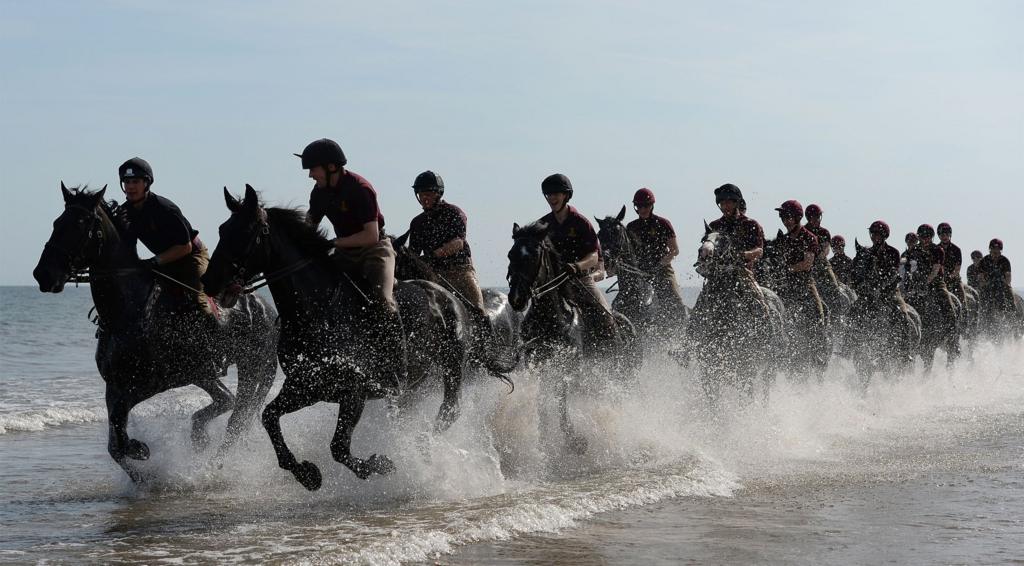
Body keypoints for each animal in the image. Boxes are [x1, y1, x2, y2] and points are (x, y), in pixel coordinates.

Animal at [32, 184, 280, 481]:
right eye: (57, 223)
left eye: (80, 224)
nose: (43, 275)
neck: (127, 312)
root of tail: (267, 308)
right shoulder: (114, 386)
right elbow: (114, 443)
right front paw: (140, 471)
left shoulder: (149, 383)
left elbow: (119, 434)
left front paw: (139, 451)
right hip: (204, 373)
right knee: (226, 401)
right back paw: (199, 436)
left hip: (252, 365)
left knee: (237, 412)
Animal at [204, 186, 483, 489]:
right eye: (222, 229)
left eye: (245, 232)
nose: (208, 282)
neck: (315, 312)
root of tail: (446, 294)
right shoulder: (306, 387)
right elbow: (269, 417)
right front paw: (306, 474)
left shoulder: (355, 391)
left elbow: (338, 447)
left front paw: (379, 464)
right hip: (413, 385)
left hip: (452, 364)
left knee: (450, 410)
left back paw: (425, 444)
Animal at [679, 227, 782, 403]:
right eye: (703, 239)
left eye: (724, 241)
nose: (704, 253)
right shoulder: (708, 368)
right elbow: (713, 402)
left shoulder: (745, 369)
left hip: (768, 367)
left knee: (764, 391)